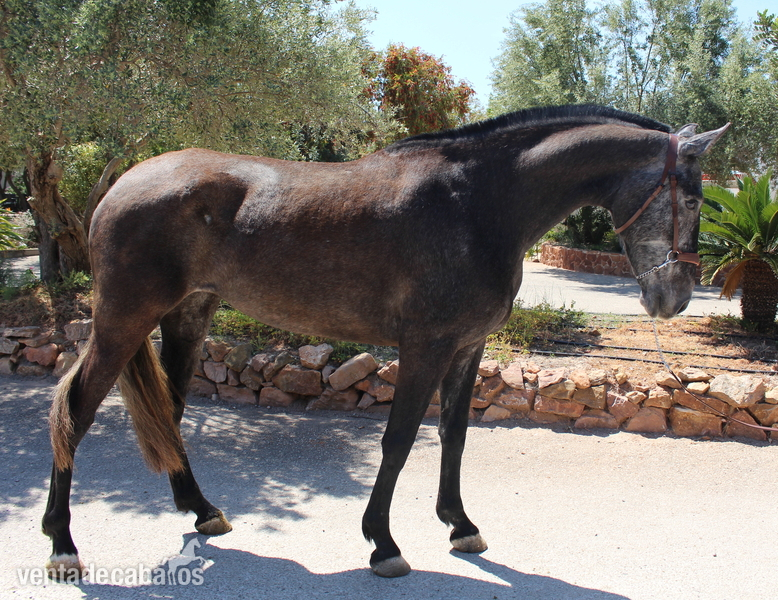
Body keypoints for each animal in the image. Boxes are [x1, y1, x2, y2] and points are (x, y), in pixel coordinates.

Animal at [42, 105, 728, 579]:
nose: (676, 297)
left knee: (172, 413)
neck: (476, 204)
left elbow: (454, 435)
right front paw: (383, 542)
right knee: (76, 410)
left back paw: (201, 510)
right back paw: (61, 543)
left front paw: (460, 525)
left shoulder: (466, 347)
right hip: (124, 320)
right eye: (695, 199)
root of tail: (121, 184)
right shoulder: (425, 346)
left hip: (188, 315)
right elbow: (398, 441)